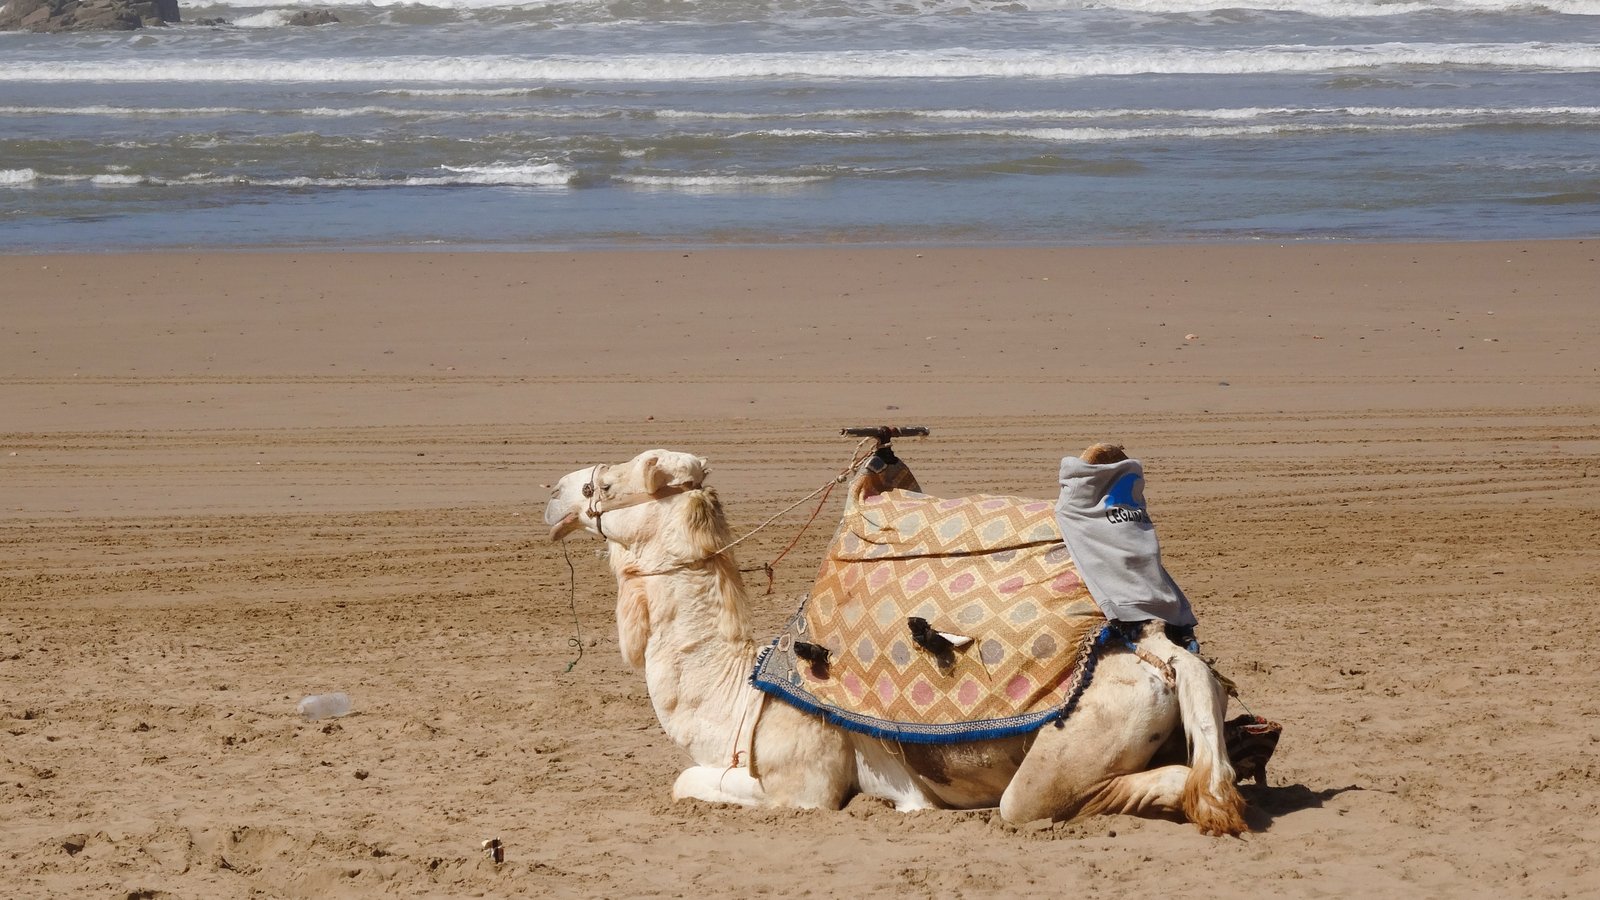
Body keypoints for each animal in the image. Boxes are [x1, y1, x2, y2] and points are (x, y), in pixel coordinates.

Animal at [544, 448, 1247, 834]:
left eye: (609, 483)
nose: (553, 493)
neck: (737, 691)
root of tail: (1157, 655)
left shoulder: (805, 787)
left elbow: (686, 781)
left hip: (1070, 750)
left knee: (1062, 798)